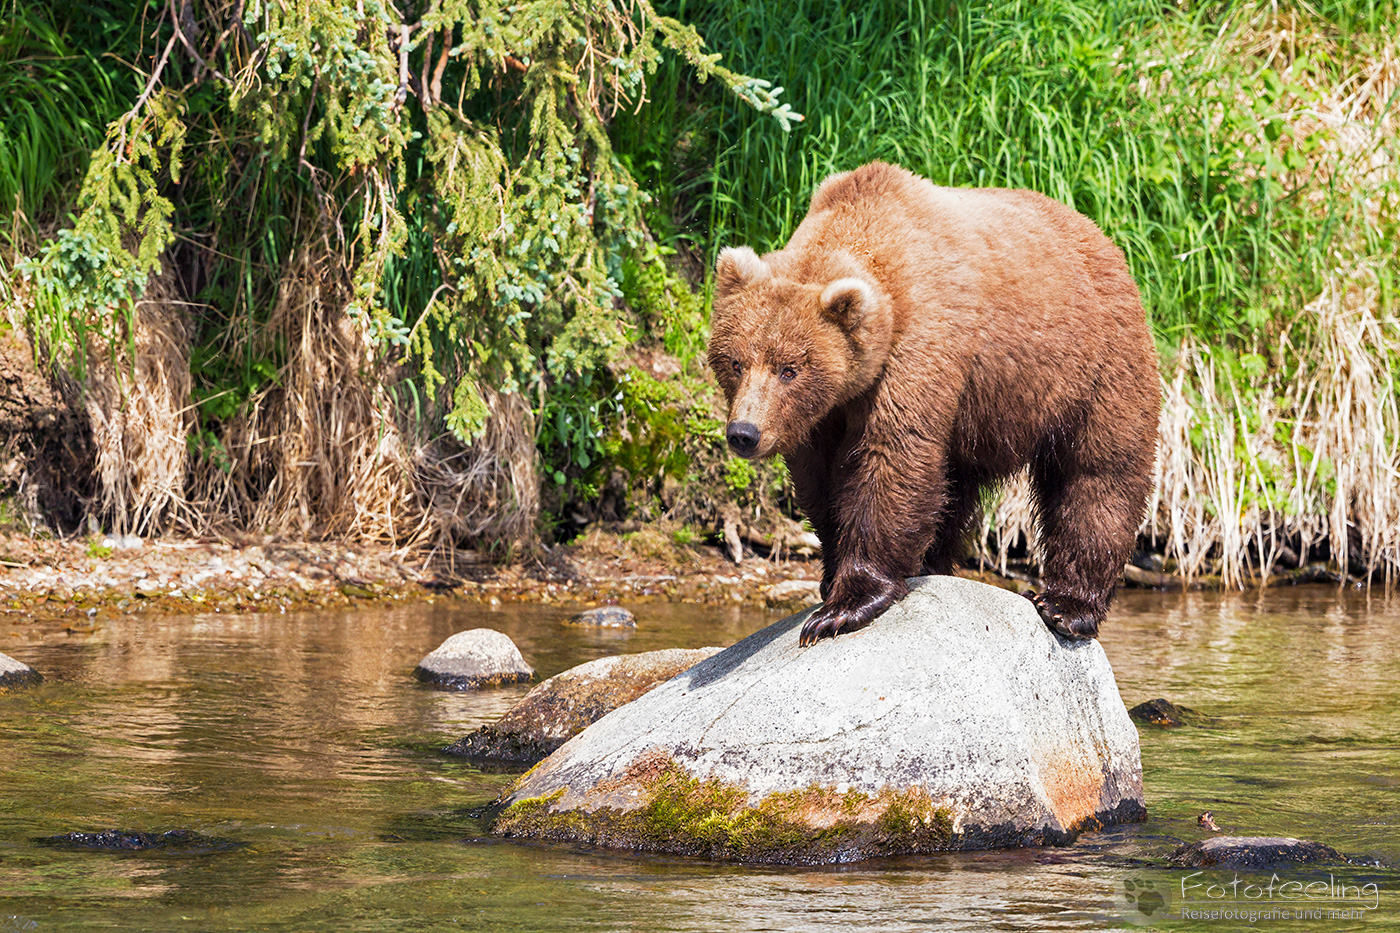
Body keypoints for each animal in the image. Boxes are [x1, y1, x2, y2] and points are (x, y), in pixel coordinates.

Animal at [707, 161, 1160, 646]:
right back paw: (932, 562)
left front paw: (842, 608)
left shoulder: (919, 346)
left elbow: (892, 456)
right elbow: (822, 480)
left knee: (1097, 475)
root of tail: (1101, 236)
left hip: (1095, 364)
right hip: (980, 414)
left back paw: (1067, 605)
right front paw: (830, 578)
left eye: (789, 369)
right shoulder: (822, 415)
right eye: (735, 362)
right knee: (953, 488)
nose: (745, 433)